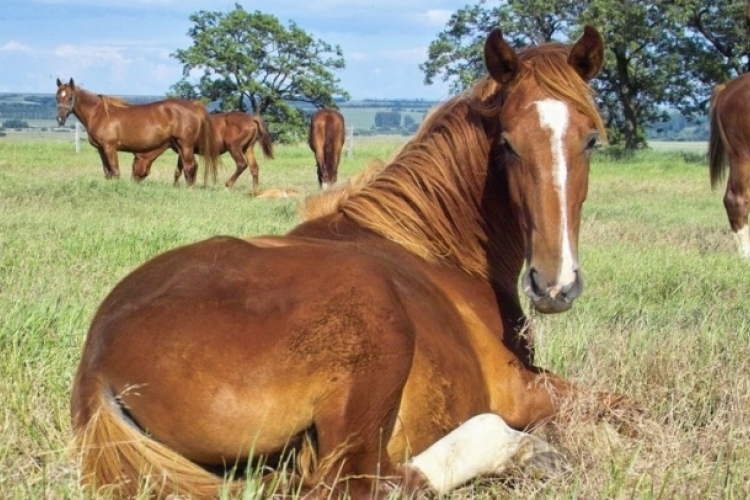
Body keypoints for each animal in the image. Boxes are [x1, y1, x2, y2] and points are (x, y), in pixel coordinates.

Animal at [55, 78, 220, 186]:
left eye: (70, 97)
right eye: (57, 96)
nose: (60, 118)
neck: (99, 113)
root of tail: (195, 105)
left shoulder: (110, 147)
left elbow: (115, 171)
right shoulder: (101, 149)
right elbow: (107, 172)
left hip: (185, 145)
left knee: (191, 167)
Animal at [135, 111, 276, 193]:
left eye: (135, 161)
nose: (134, 180)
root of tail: (251, 119)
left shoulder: (183, 150)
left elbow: (183, 169)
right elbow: (179, 170)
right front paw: (177, 186)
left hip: (234, 148)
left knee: (242, 164)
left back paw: (228, 185)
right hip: (248, 149)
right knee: (254, 168)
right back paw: (255, 191)